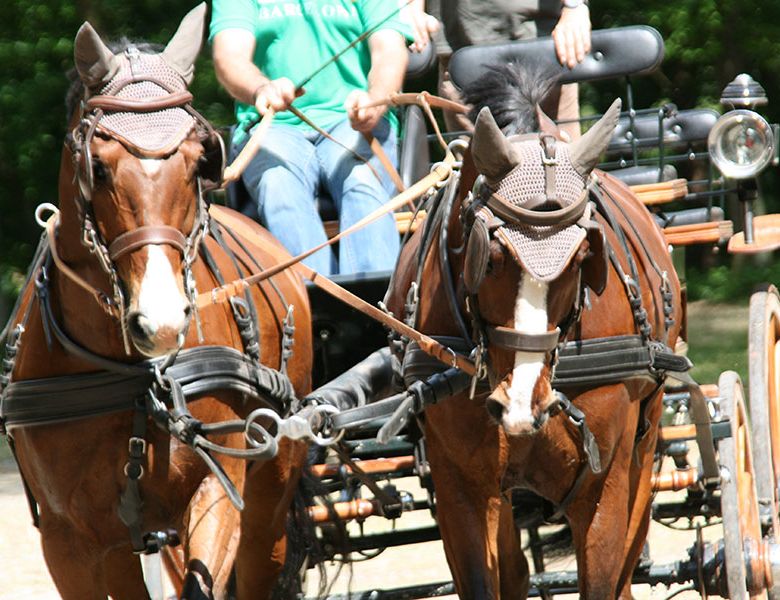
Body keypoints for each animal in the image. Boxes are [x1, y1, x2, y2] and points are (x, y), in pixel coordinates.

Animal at [0, 3, 310, 596]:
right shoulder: (69, 543)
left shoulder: (216, 491)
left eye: (198, 161)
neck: (130, 377)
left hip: (271, 496)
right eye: (97, 168)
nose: (162, 322)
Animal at [384, 63, 684, 596]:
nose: (524, 402)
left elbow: (604, 581)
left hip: (644, 448)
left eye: (584, 257)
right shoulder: (462, 486)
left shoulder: (603, 485)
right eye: (490, 256)